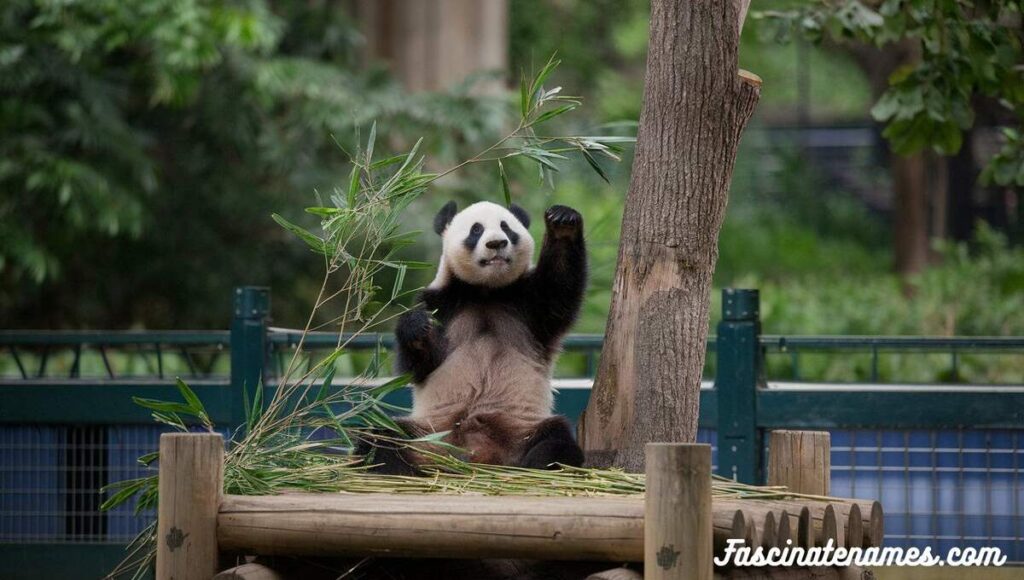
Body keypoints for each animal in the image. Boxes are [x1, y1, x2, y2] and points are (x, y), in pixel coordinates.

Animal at [358, 201, 585, 475]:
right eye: (476, 230)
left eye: (506, 227)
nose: (496, 243)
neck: (484, 291)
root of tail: (475, 455)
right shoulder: (440, 304)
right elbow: (418, 365)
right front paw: (417, 326)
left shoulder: (528, 305)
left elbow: (558, 289)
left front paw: (563, 222)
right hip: (428, 433)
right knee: (381, 437)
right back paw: (396, 469)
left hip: (521, 429)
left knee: (557, 439)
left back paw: (537, 466)